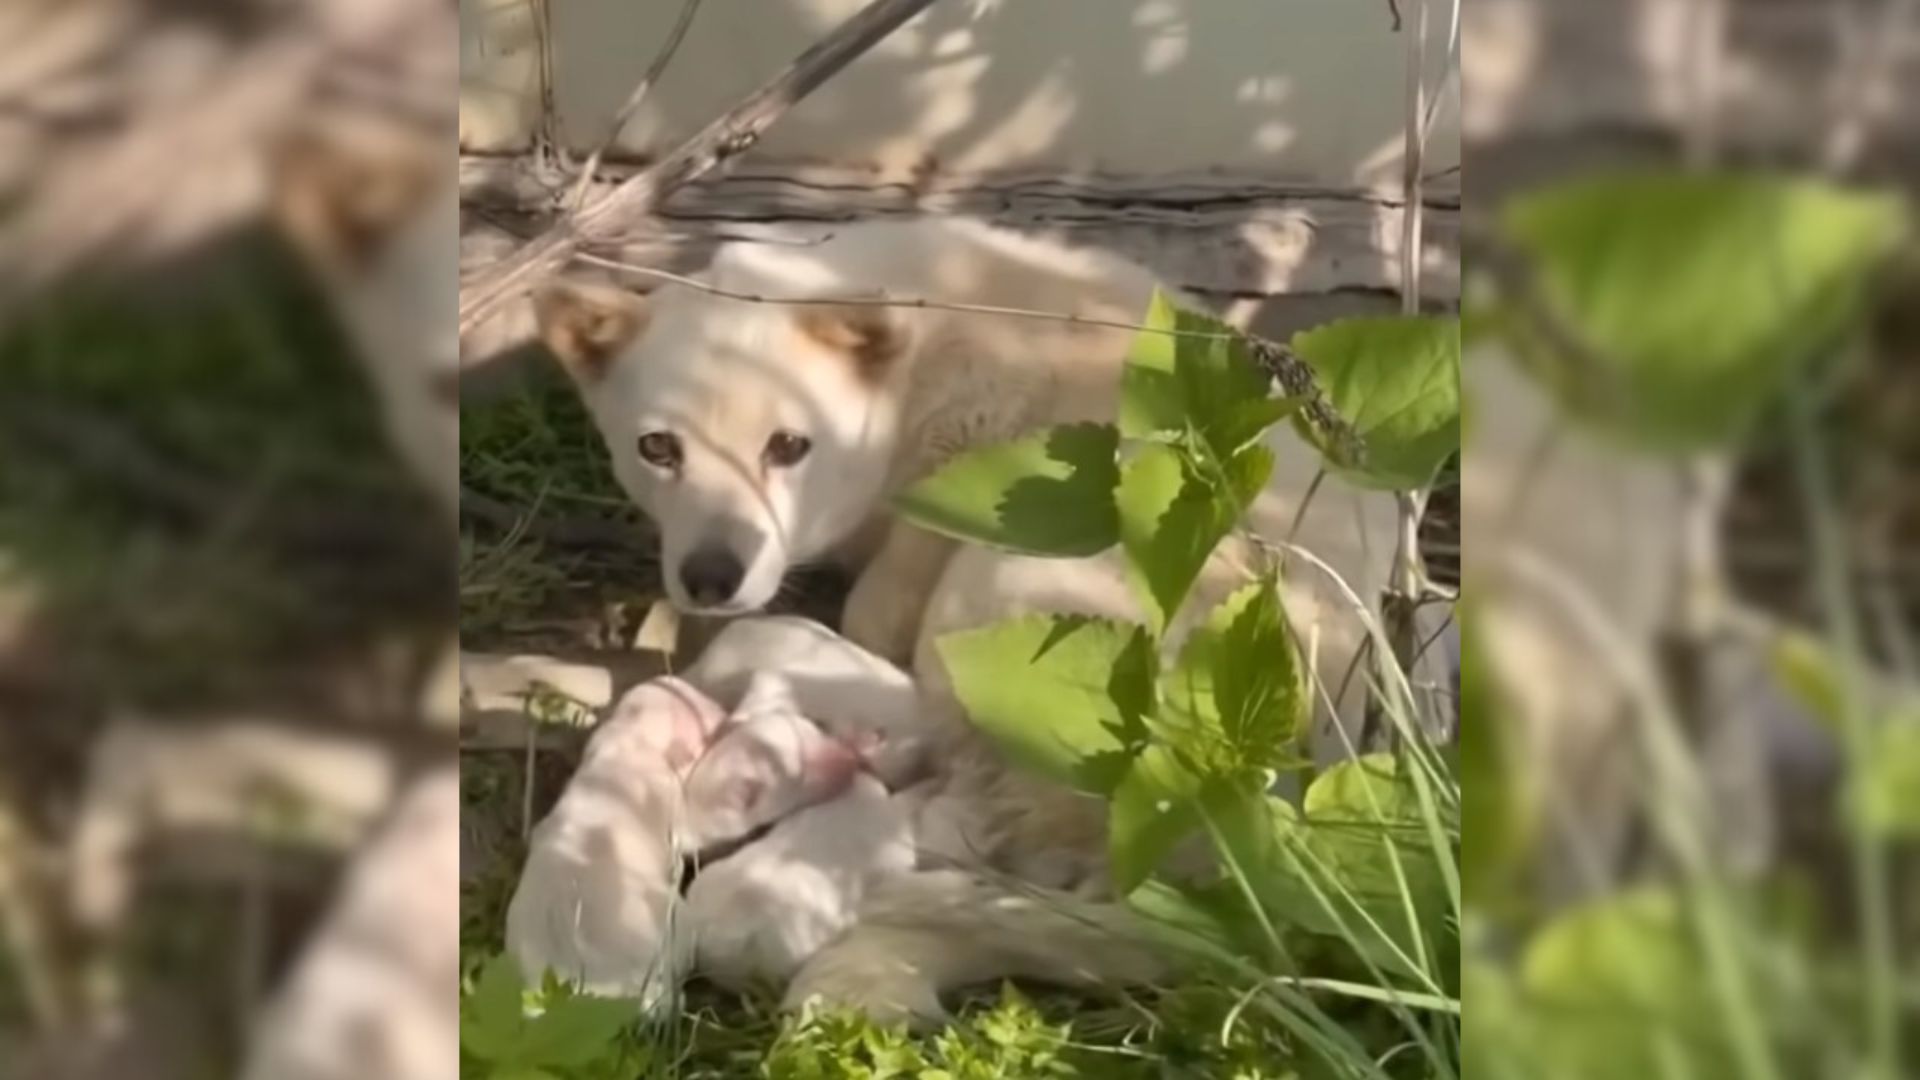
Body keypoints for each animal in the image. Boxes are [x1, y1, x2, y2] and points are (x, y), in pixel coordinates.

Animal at [533, 219, 1405, 1014]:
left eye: (788, 445)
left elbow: (863, 621)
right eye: (658, 449)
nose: (713, 577)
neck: (914, 365)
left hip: (1014, 580)